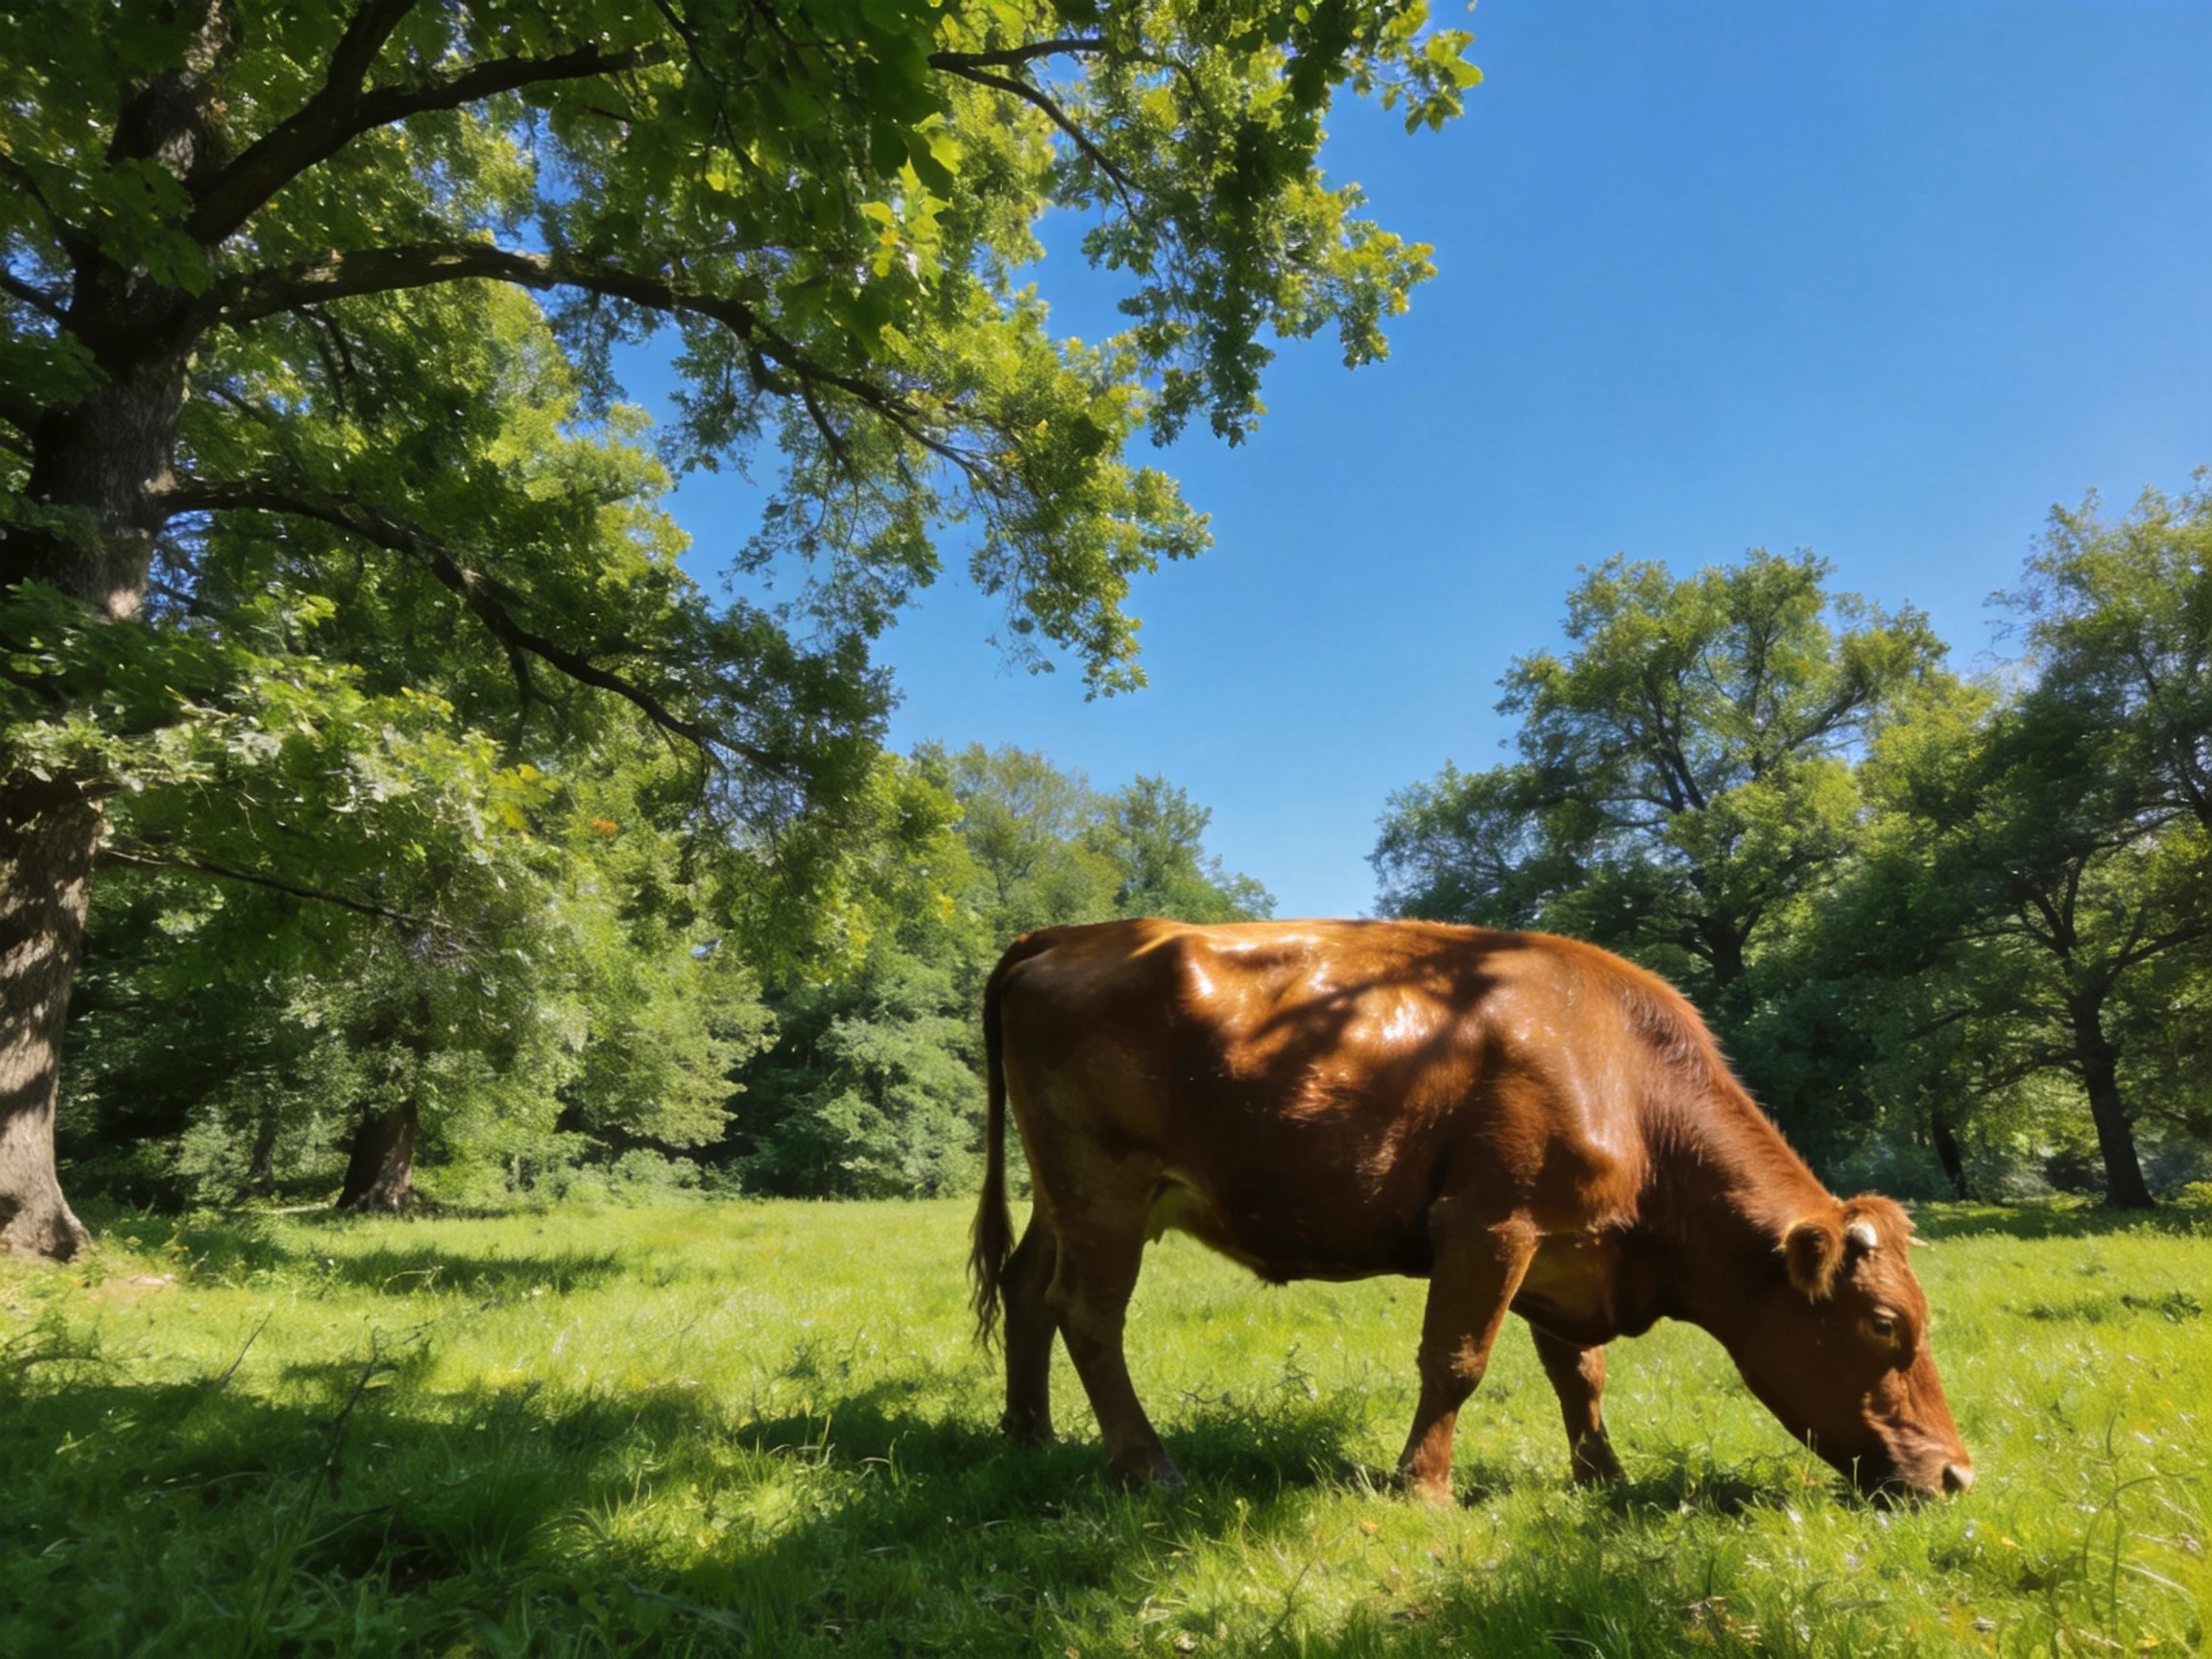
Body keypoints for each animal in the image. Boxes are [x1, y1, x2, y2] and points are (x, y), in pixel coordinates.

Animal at [968, 918, 1972, 1503]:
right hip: (1102, 1187)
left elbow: (1580, 1375)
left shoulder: (1567, 1251)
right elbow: (1456, 1363)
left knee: (1025, 1288)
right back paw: (1147, 1467)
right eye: (1884, 1324)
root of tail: (1071, 933)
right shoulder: (1492, 1224)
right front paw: (1422, 1488)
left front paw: (1603, 1478)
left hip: (1069, 1195)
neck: (1624, 1082)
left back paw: (1029, 1435)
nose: (1958, 1473)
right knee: (1088, 1314)